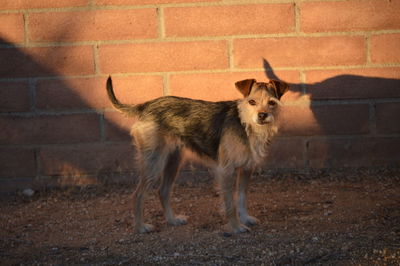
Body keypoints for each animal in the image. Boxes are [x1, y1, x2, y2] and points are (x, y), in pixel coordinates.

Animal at [105, 76, 288, 233]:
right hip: (154, 162)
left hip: (173, 161)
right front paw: (236, 227)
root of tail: (145, 105)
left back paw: (172, 220)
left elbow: (242, 197)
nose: (262, 115)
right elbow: (231, 203)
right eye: (252, 101)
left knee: (163, 191)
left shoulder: (246, 169)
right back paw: (140, 227)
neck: (245, 123)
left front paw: (245, 218)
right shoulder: (226, 171)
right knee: (138, 194)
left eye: (272, 103)